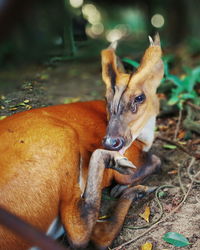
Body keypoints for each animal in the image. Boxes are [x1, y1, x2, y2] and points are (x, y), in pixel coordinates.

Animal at [0, 33, 164, 250]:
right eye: (106, 98)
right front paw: (122, 180)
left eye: (139, 97)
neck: (144, 137)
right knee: (83, 234)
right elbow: (155, 162)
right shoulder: (133, 156)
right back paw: (127, 181)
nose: (110, 141)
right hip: (60, 139)